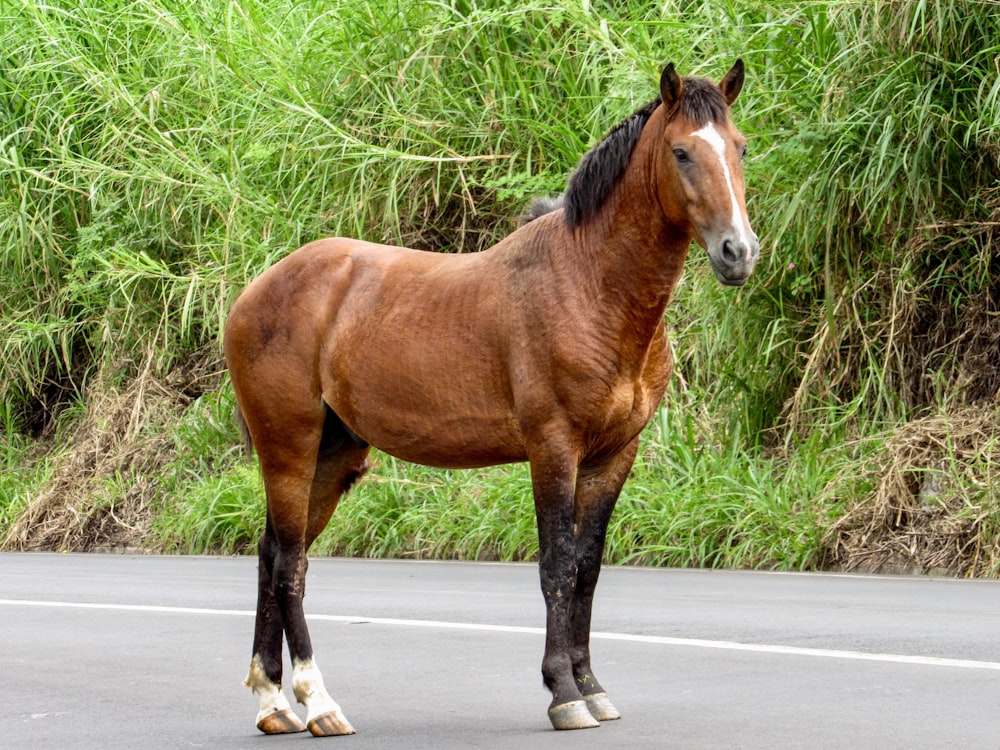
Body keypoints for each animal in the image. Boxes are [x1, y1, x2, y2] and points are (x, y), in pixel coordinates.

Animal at [225, 60, 756, 740]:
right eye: (682, 151)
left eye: (739, 148)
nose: (738, 252)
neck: (589, 284)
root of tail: (255, 291)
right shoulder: (553, 448)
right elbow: (555, 565)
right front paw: (563, 694)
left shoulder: (614, 455)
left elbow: (586, 569)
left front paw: (592, 687)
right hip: (289, 449)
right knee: (290, 565)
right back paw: (318, 702)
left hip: (333, 456)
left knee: (271, 556)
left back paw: (273, 703)